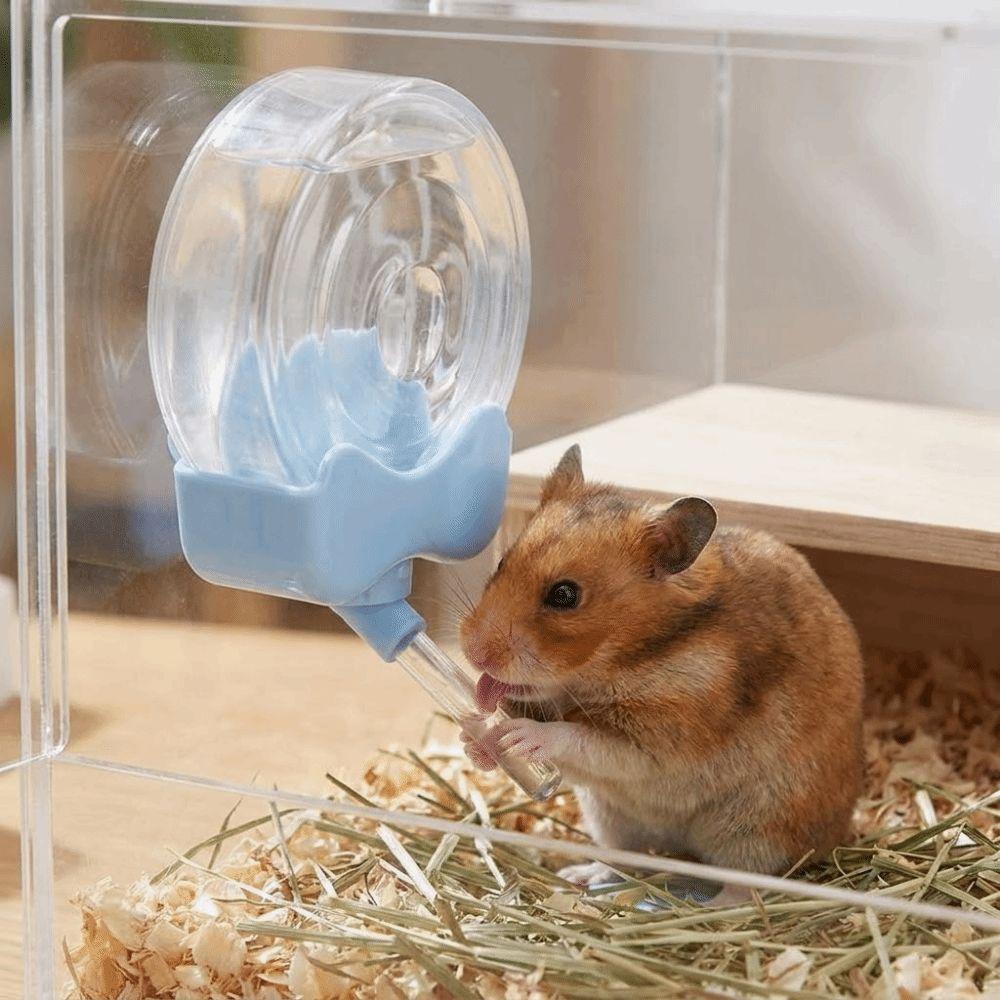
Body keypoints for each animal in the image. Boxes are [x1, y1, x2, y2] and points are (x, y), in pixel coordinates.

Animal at [459, 445, 864, 885]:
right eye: (502, 563)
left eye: (564, 595)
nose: (473, 652)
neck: (627, 659)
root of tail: (838, 836)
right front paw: (474, 735)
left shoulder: (661, 737)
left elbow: (580, 738)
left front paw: (518, 736)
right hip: (609, 815)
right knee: (624, 857)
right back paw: (582, 874)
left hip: (759, 828)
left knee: (748, 882)